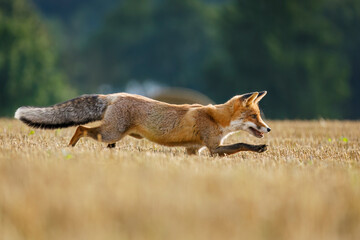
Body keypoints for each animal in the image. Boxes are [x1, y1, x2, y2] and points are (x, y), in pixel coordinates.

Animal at [15, 91, 272, 156]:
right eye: (254, 116)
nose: (269, 129)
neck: (217, 118)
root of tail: (113, 95)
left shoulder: (195, 150)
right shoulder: (213, 147)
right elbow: (241, 144)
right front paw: (259, 148)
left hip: (114, 135)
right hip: (110, 133)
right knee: (80, 128)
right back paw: (69, 149)